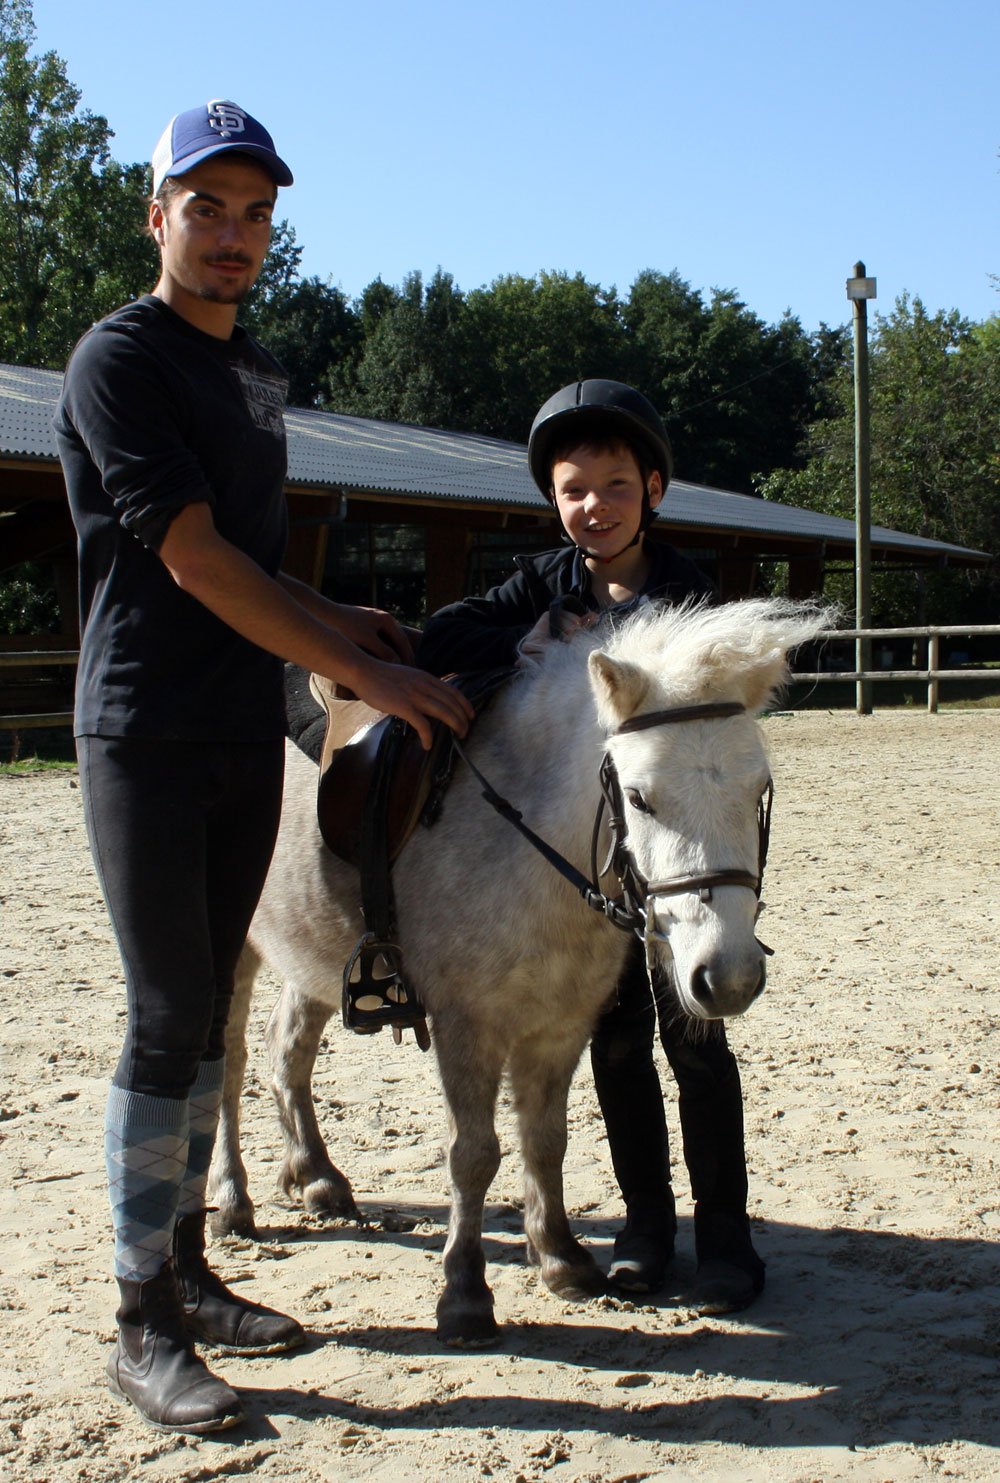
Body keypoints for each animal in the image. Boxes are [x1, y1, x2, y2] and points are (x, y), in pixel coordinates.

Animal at [207, 599, 818, 1346]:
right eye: (640, 798)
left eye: (760, 790)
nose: (726, 977)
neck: (527, 843)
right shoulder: (467, 1028)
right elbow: (474, 1155)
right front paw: (466, 1296)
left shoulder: (559, 1027)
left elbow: (546, 1141)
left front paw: (560, 1259)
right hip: (232, 946)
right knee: (227, 1067)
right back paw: (231, 1200)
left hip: (309, 948)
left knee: (285, 1052)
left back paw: (316, 1176)